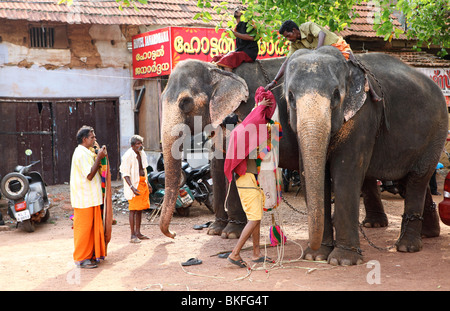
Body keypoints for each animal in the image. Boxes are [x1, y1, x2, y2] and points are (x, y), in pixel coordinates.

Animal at [158, 57, 298, 240]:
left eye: (185, 102)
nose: (173, 234)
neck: (219, 71)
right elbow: (217, 164)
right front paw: (215, 230)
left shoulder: (244, 112)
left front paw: (231, 233)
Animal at [284, 46, 448, 266]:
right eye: (291, 97)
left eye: (336, 95)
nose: (312, 250)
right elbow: (308, 172)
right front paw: (316, 257)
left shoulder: (364, 114)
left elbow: (346, 171)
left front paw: (342, 261)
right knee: (407, 178)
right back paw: (424, 233)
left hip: (437, 132)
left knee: (418, 177)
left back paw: (407, 247)